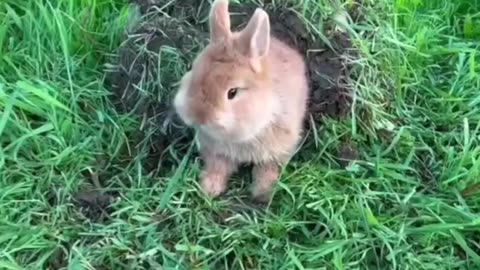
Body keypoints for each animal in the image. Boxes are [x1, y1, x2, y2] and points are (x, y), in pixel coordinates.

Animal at [174, 0, 310, 201]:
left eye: (232, 92)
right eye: (193, 70)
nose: (199, 116)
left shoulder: (278, 150)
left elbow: (267, 171)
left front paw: (261, 195)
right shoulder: (214, 150)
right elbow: (217, 167)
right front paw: (208, 189)